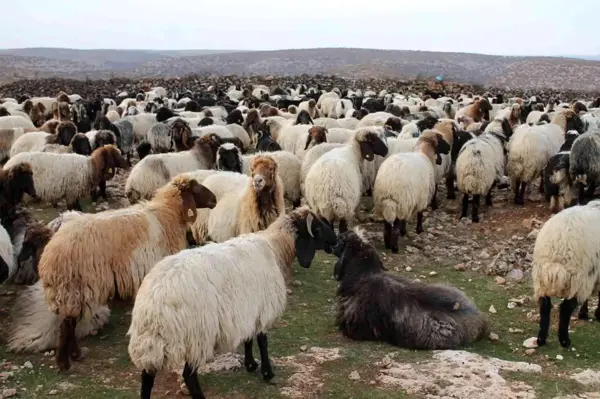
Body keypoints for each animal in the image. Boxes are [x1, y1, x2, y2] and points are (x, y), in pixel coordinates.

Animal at [127, 206, 338, 399]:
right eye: (318, 227)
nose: (336, 240)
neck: (275, 247)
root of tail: (152, 306)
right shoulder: (263, 307)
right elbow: (262, 340)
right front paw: (267, 372)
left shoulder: (249, 308)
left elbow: (248, 338)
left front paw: (250, 364)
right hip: (197, 336)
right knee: (188, 375)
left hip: (155, 344)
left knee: (147, 375)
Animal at [532, 202, 600, 348]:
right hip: (578, 277)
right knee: (565, 309)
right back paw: (564, 341)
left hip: (541, 278)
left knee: (544, 307)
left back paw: (541, 339)